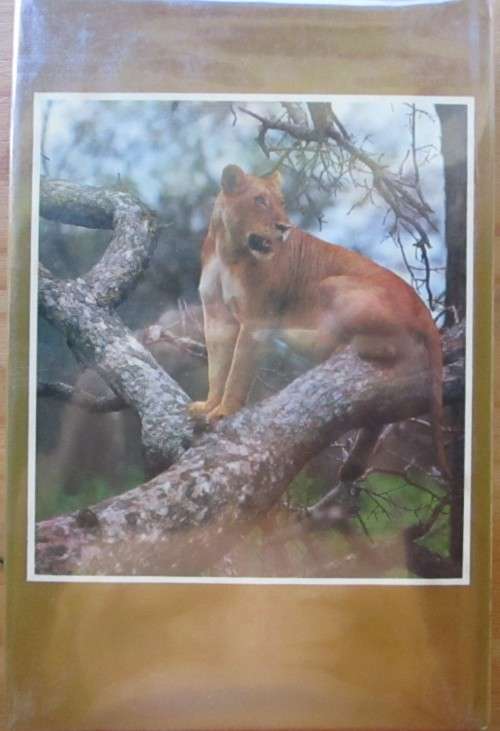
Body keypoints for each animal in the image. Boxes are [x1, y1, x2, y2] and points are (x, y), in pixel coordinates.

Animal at [189, 164, 448, 481]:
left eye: (281, 202)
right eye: (259, 200)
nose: (284, 228)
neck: (228, 252)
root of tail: (422, 306)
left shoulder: (257, 320)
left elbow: (237, 373)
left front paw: (224, 412)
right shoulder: (216, 317)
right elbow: (217, 369)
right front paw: (207, 406)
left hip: (331, 285)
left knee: (392, 351)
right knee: (381, 411)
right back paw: (352, 468)